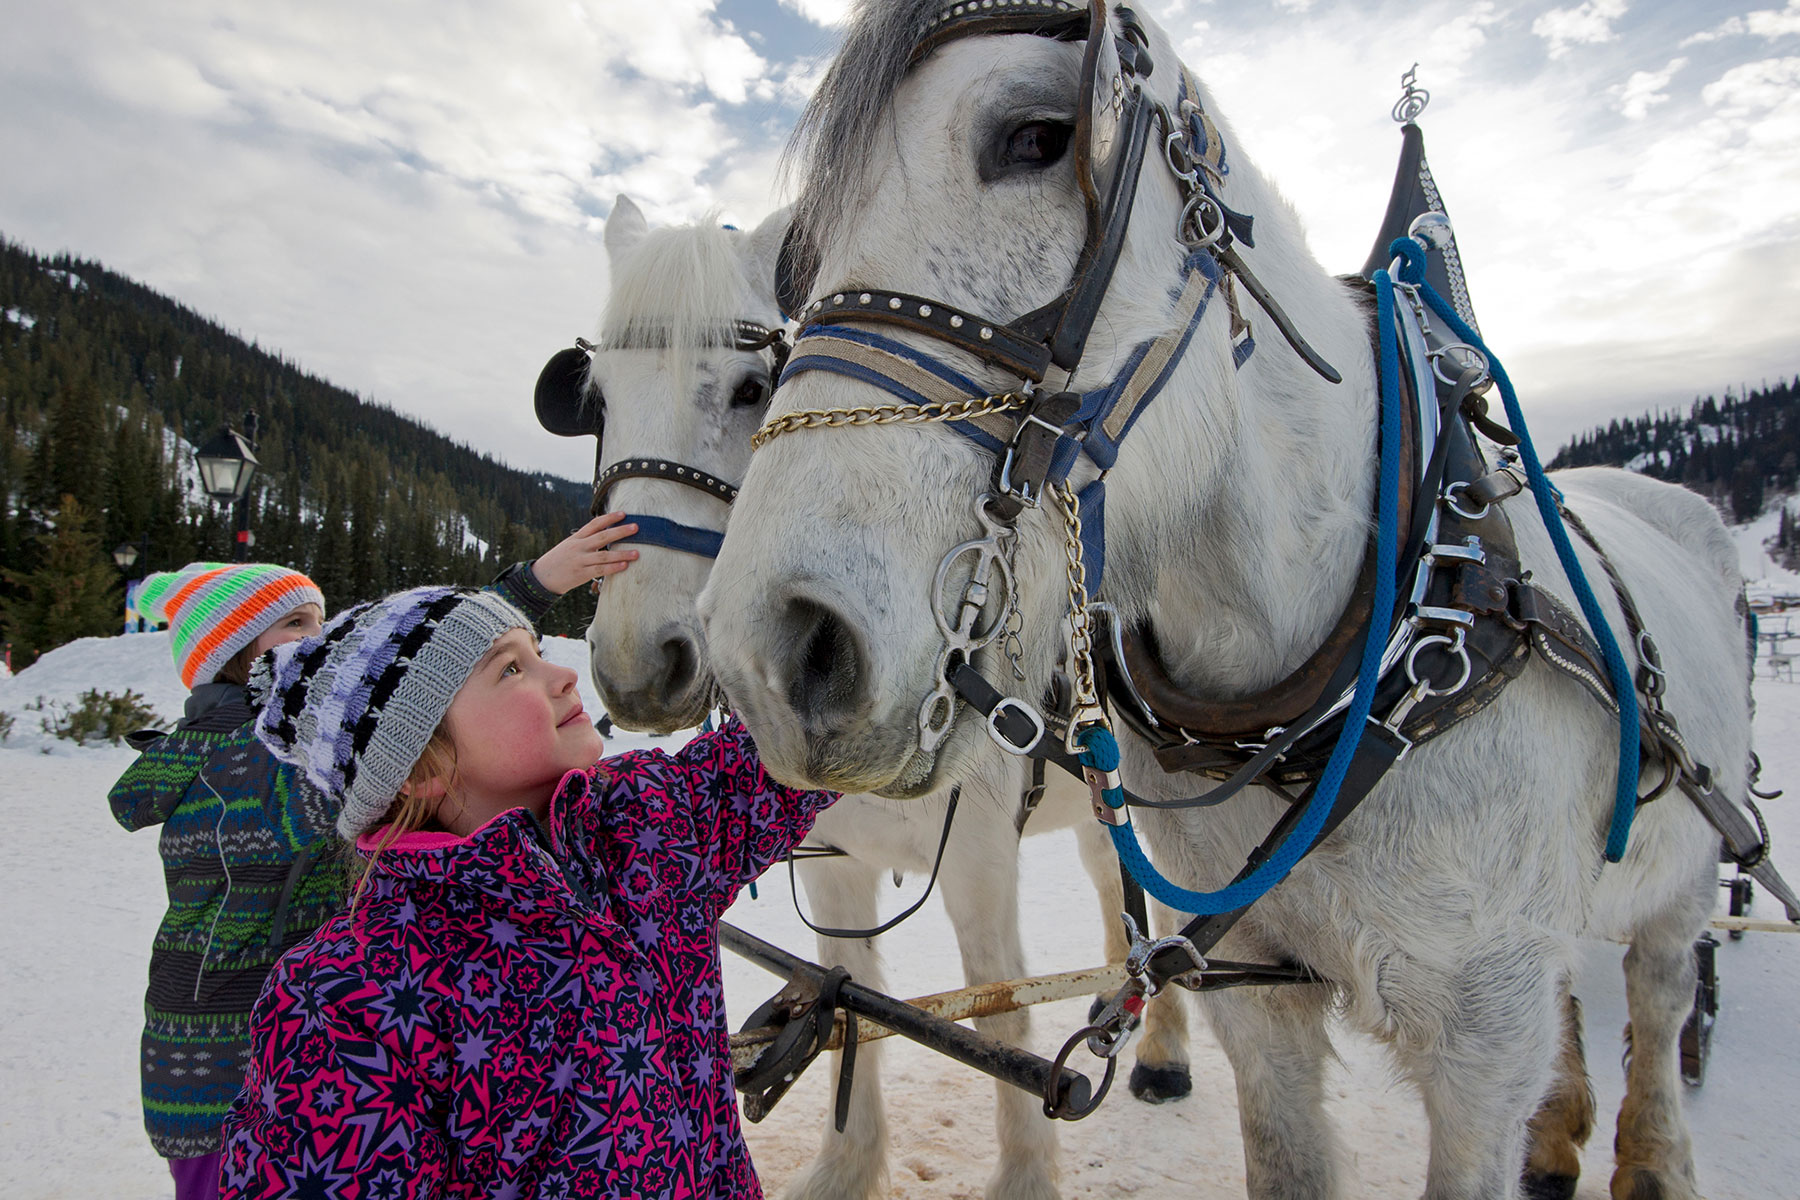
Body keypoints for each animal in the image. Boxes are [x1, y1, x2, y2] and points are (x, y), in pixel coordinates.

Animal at [554, 193, 1196, 1200]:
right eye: (599, 405)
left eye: (751, 389)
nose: (636, 666)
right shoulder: (834, 863)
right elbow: (850, 1001)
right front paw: (846, 1168)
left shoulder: (979, 864)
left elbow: (1001, 1021)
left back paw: (1162, 1048)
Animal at [696, 2, 1757, 1196]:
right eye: (800, 262)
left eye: (1037, 136)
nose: (770, 651)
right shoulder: (1256, 992)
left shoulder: (1487, 1031)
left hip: (1683, 878)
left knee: (1663, 999)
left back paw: (1650, 1153)